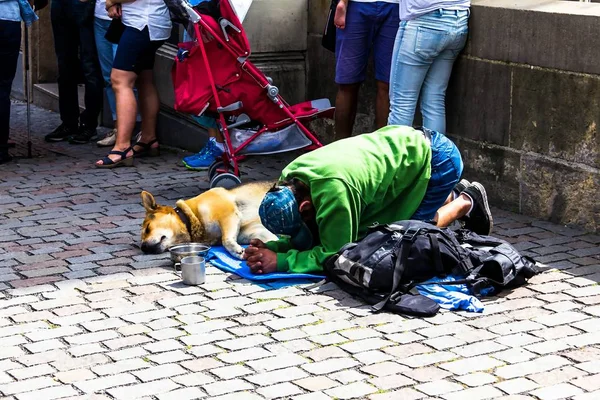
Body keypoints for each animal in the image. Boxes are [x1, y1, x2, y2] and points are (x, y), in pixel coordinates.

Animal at [141, 182, 278, 258]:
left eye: (147, 228)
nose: (143, 248)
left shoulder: (228, 215)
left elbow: (226, 240)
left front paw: (236, 250)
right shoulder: (253, 231)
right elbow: (270, 239)